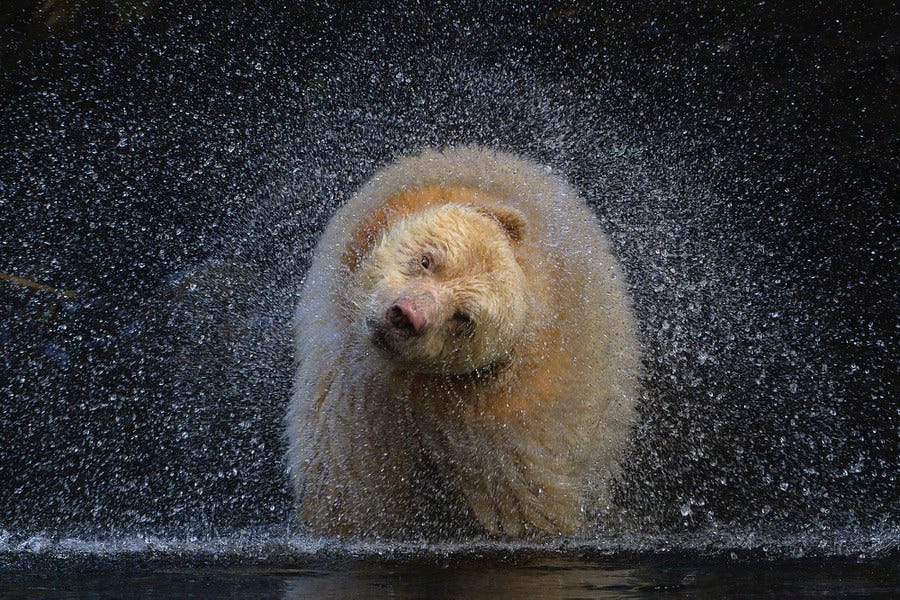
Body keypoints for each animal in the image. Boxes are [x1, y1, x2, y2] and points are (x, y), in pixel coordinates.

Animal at [287, 147, 641, 539]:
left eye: (463, 319)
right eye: (426, 259)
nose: (405, 315)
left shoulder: (510, 434)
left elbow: (529, 505)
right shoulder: (354, 379)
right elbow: (348, 471)